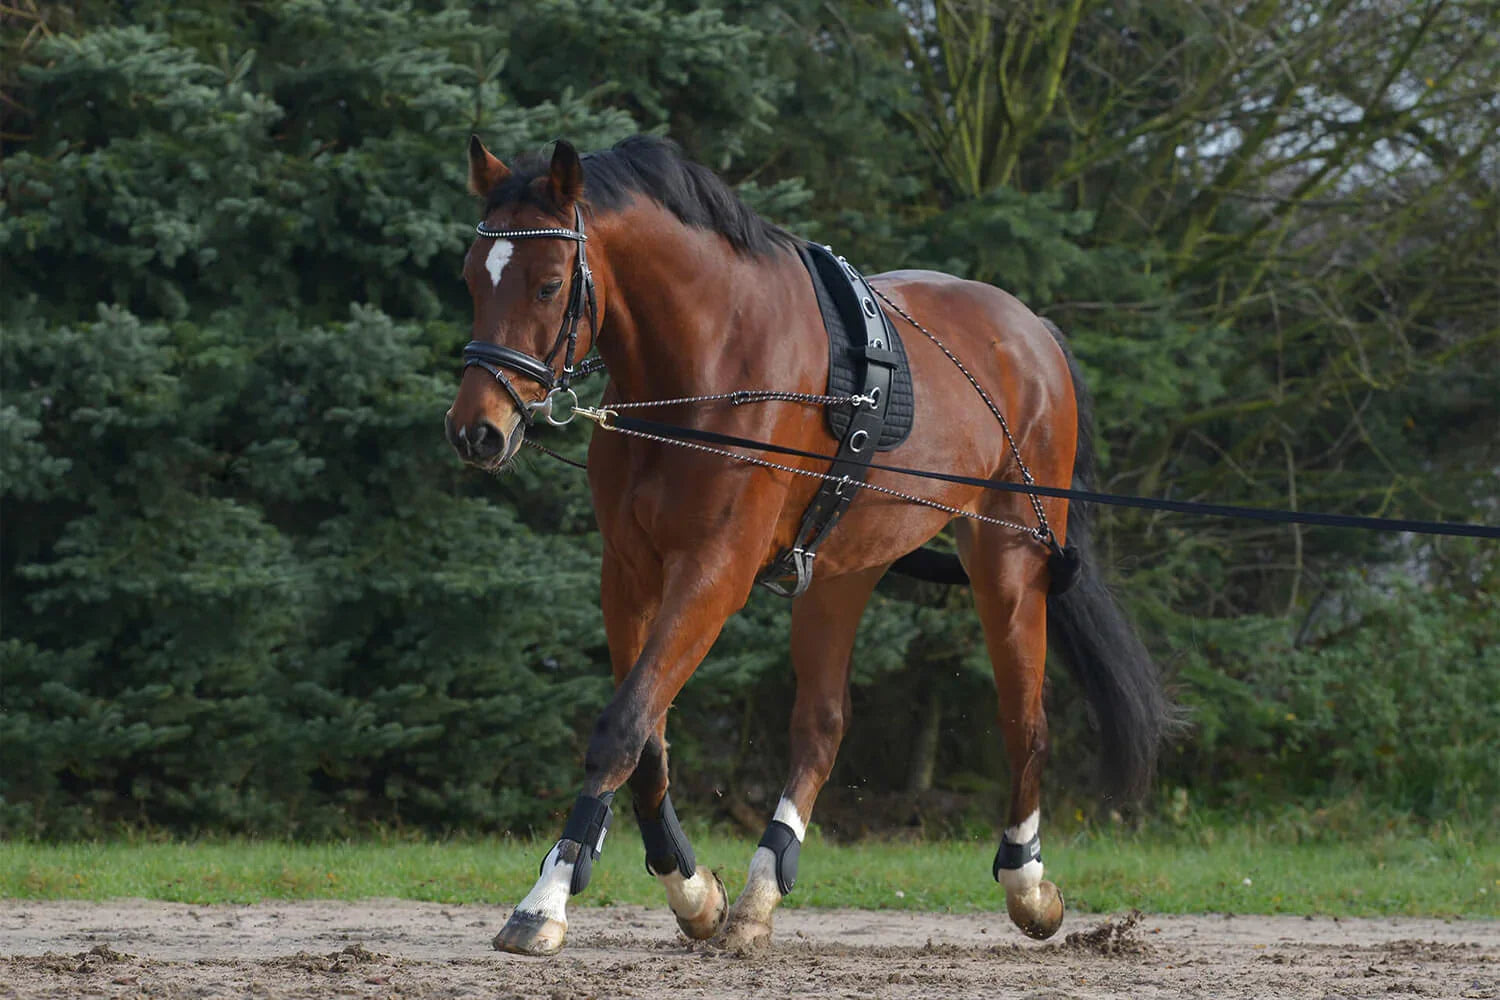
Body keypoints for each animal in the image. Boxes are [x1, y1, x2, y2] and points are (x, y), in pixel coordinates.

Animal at [445, 134, 1169, 955]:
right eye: (472, 276)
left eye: (548, 285)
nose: (477, 430)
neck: (707, 362)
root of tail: (1034, 332)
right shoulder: (628, 571)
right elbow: (647, 736)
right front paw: (692, 891)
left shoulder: (713, 571)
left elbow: (621, 727)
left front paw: (546, 899)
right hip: (842, 570)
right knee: (821, 727)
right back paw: (763, 889)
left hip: (1008, 562)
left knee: (1025, 721)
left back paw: (1027, 882)